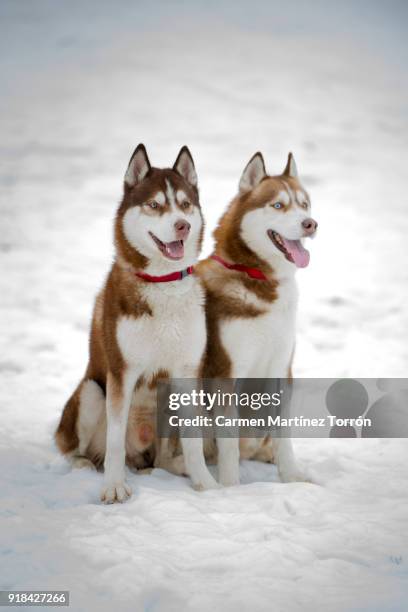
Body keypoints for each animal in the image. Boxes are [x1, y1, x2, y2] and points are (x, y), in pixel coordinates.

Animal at [56, 145, 220, 502]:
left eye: (185, 204)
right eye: (154, 205)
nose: (182, 226)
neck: (163, 284)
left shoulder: (187, 371)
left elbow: (193, 441)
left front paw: (204, 482)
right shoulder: (122, 371)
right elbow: (115, 441)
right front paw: (114, 487)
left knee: (161, 458)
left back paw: (175, 467)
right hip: (91, 391)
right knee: (78, 448)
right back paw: (84, 464)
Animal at [196, 152, 318, 482]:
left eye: (304, 204)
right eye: (278, 205)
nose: (311, 224)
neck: (260, 279)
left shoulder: (281, 367)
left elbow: (283, 433)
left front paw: (291, 477)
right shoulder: (225, 372)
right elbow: (228, 445)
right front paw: (230, 486)